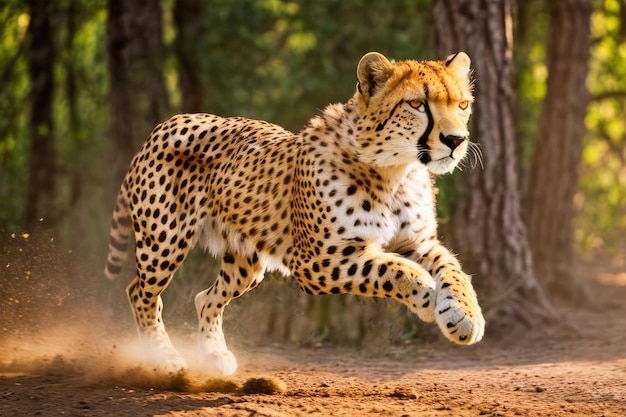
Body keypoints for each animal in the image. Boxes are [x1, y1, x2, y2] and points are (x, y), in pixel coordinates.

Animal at [105, 51, 486, 374]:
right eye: (417, 104)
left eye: (462, 104)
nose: (456, 140)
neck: (396, 173)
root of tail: (172, 120)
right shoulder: (316, 263)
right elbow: (390, 269)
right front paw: (425, 295)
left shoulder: (418, 243)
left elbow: (452, 269)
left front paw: (464, 315)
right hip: (164, 240)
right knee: (140, 293)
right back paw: (163, 358)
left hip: (246, 263)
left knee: (204, 298)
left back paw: (214, 355)